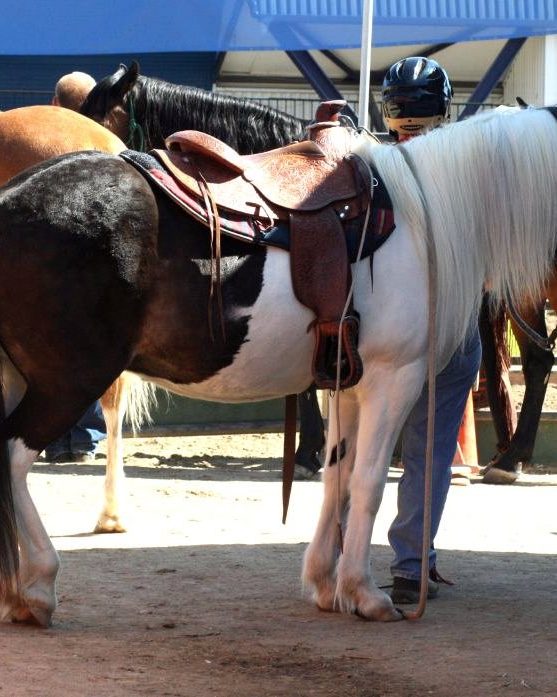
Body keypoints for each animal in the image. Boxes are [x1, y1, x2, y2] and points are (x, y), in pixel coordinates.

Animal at [0, 104, 555, 627]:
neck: (423, 220)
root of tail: (12, 199)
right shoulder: (393, 378)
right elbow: (369, 483)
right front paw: (364, 594)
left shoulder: (347, 385)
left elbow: (339, 477)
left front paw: (326, 585)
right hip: (67, 384)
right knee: (12, 459)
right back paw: (37, 587)